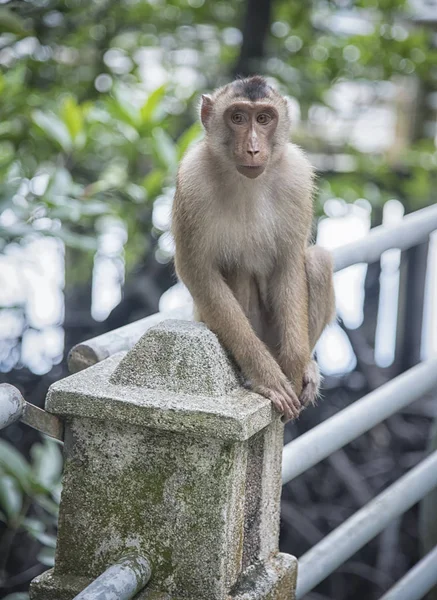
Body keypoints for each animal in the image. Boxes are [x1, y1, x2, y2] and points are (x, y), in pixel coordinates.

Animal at [170, 76, 334, 422]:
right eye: (237, 117)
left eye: (263, 118)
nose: (254, 148)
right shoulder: (192, 180)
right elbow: (197, 270)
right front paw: (268, 378)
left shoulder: (297, 177)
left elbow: (289, 261)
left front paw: (295, 368)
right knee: (237, 267)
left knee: (318, 261)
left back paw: (307, 367)